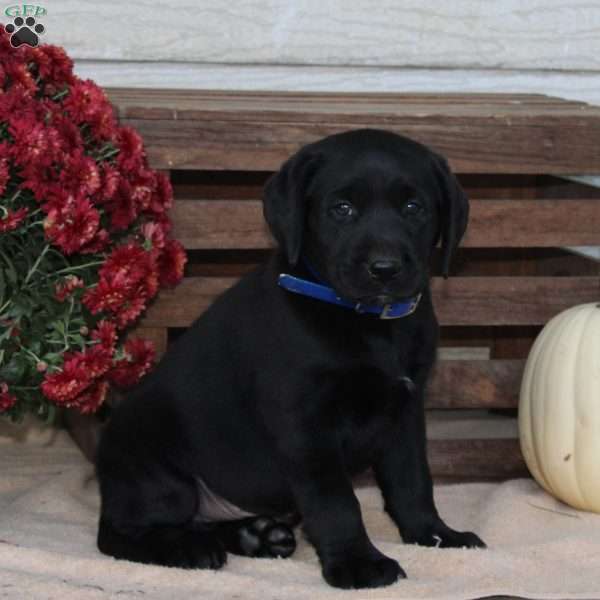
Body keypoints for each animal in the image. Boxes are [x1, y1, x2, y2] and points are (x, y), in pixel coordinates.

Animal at [96, 129, 486, 588]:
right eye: (342, 209)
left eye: (414, 208)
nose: (385, 268)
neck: (368, 323)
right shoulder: (306, 425)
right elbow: (337, 502)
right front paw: (358, 564)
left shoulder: (405, 412)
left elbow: (413, 482)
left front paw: (435, 535)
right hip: (158, 473)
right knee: (117, 534)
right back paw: (188, 548)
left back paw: (256, 536)